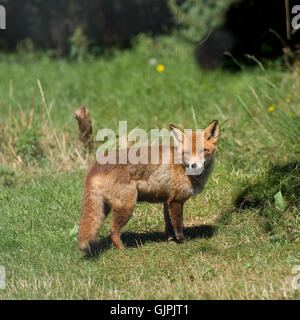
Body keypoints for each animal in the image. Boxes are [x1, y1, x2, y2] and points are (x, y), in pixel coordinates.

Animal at [77, 120, 219, 252]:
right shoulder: (175, 201)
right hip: (127, 206)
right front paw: (182, 242)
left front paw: (171, 240)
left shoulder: (167, 201)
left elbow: (169, 226)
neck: (181, 166)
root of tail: (93, 167)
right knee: (112, 231)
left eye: (204, 150)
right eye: (187, 153)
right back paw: (124, 251)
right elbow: (178, 225)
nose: (194, 166)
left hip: (104, 208)